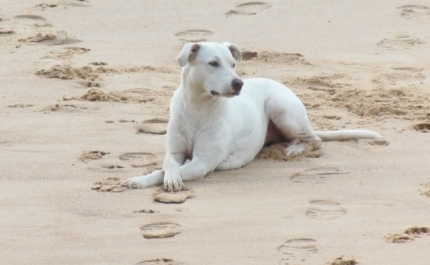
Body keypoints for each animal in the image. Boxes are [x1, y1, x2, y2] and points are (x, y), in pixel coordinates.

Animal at [121, 42, 380, 192]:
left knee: (314, 139)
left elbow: (166, 171)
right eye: (213, 63)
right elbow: (167, 165)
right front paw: (150, 178)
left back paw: (296, 149)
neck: (197, 106)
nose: (239, 83)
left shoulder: (202, 164)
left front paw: (151, 180)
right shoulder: (174, 152)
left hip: (283, 109)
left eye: (233, 63)